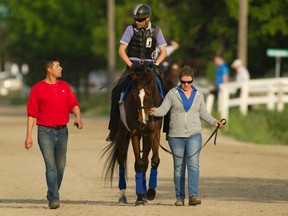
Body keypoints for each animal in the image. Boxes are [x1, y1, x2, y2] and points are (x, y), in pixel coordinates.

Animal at [102, 66, 163, 206]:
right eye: (134, 94)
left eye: (149, 93)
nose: (142, 120)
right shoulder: (135, 133)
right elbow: (138, 164)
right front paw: (139, 198)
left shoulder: (153, 132)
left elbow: (153, 161)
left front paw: (150, 193)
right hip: (122, 133)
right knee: (121, 161)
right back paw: (123, 196)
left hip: (145, 136)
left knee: (145, 161)